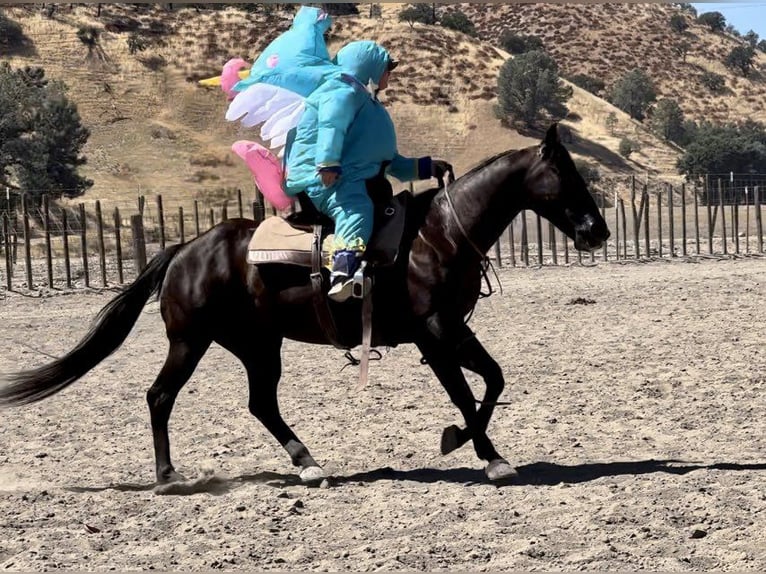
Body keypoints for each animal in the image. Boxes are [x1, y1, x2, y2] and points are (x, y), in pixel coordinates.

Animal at [0, 125, 612, 486]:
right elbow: (465, 393)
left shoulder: (452, 332)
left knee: (261, 404)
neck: (437, 236)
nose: (599, 231)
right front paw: (484, 454)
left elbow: (494, 379)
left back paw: (309, 464)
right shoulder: (434, 332)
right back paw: (170, 475)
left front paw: (471, 444)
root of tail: (184, 250)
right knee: (160, 396)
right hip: (190, 341)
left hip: (256, 345)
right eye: (565, 174)